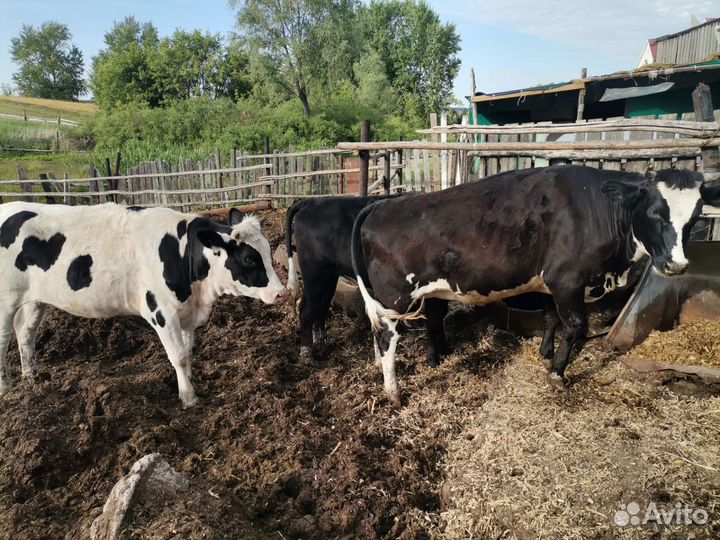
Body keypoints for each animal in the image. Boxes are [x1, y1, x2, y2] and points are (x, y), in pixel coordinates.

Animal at [0, 203, 285, 407]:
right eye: (249, 259)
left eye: (268, 252)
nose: (281, 293)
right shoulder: (161, 312)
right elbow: (178, 355)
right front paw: (188, 397)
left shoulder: (186, 313)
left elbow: (187, 352)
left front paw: (189, 382)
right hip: (6, 301)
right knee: (4, 341)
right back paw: (6, 388)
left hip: (35, 300)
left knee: (25, 333)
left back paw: (31, 378)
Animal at [285, 196, 451, 365]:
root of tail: (308, 202)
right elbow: (434, 318)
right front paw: (434, 360)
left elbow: (440, 315)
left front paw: (445, 350)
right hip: (314, 274)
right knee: (307, 310)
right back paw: (306, 354)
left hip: (327, 278)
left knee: (320, 307)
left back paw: (321, 343)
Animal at [351, 165, 720, 406]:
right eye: (655, 212)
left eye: (696, 216)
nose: (676, 265)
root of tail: (380, 203)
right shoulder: (567, 280)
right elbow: (576, 325)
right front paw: (557, 372)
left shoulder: (548, 284)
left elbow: (551, 318)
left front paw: (545, 352)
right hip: (395, 299)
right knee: (387, 339)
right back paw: (394, 393)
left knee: (377, 330)